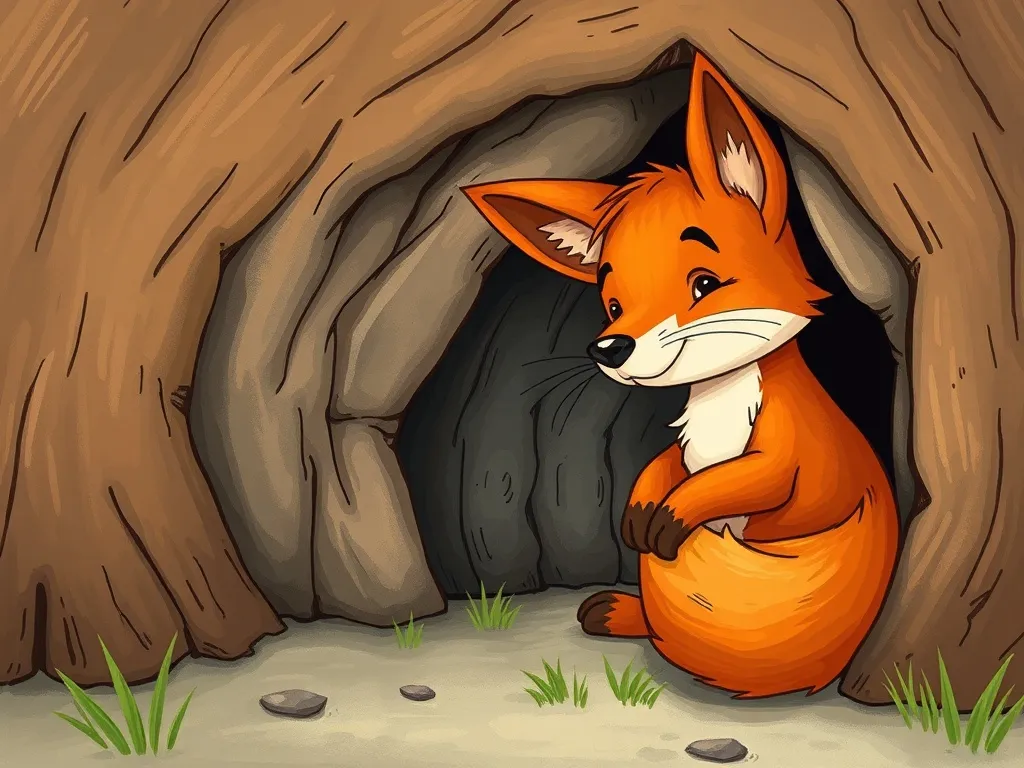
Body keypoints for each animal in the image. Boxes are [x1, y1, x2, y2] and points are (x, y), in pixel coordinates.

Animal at [461, 53, 900, 698]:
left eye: (704, 284)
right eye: (612, 304)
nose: (609, 347)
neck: (721, 407)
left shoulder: (803, 460)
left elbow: (749, 478)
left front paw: (672, 514)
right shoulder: (685, 448)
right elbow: (665, 465)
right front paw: (643, 507)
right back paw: (614, 611)